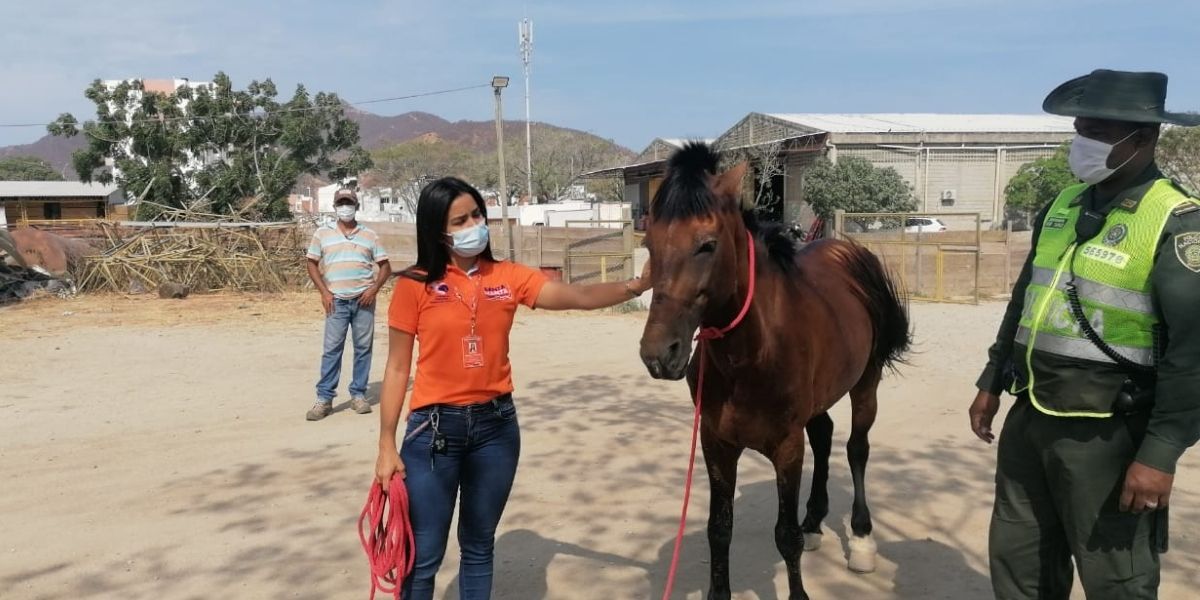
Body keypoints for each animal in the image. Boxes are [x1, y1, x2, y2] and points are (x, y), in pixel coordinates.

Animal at [638, 144, 907, 600]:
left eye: (707, 245)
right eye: (650, 244)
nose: (659, 354)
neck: (753, 353)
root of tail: (849, 253)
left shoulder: (786, 446)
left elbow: (785, 536)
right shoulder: (716, 444)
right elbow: (719, 530)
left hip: (865, 383)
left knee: (856, 448)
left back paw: (861, 540)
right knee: (824, 436)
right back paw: (815, 521)